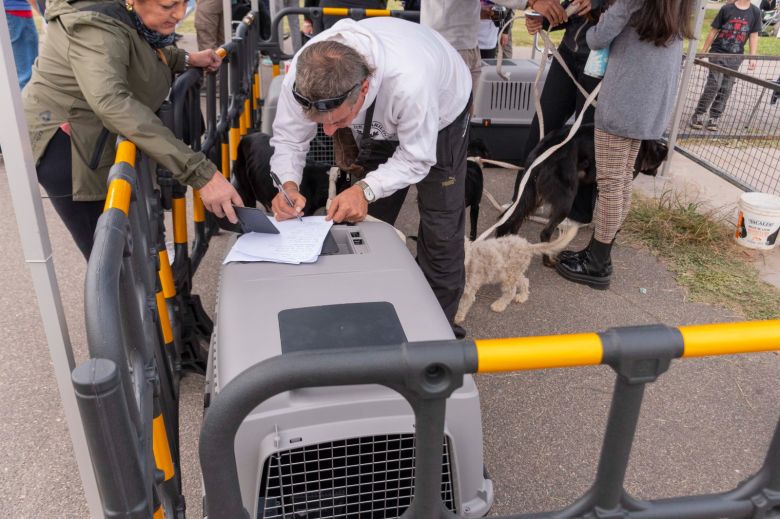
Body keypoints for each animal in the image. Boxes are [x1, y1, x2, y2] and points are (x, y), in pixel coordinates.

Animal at [450, 225, 580, 322]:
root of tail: (527, 245)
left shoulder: (467, 291)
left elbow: (462, 305)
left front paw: (457, 317)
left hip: (509, 277)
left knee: (510, 292)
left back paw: (500, 305)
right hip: (513, 273)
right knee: (525, 281)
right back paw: (523, 296)